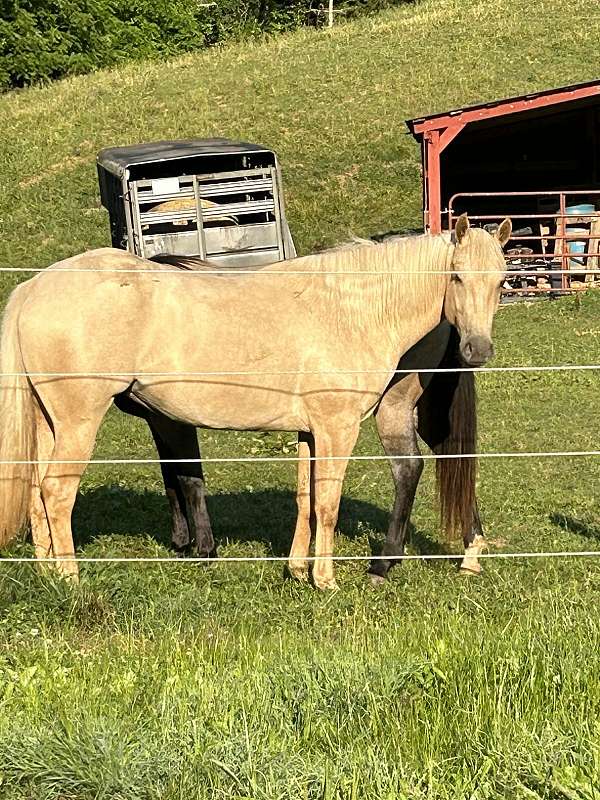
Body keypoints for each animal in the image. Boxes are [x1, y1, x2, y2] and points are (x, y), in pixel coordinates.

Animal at [0, 212, 508, 588]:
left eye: (502, 282)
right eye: (457, 277)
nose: (477, 350)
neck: (350, 309)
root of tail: (32, 288)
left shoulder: (310, 432)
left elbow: (306, 498)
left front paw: (298, 571)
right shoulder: (337, 427)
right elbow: (327, 502)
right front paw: (325, 580)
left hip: (49, 422)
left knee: (35, 490)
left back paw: (46, 570)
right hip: (79, 421)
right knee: (56, 490)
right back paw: (69, 578)